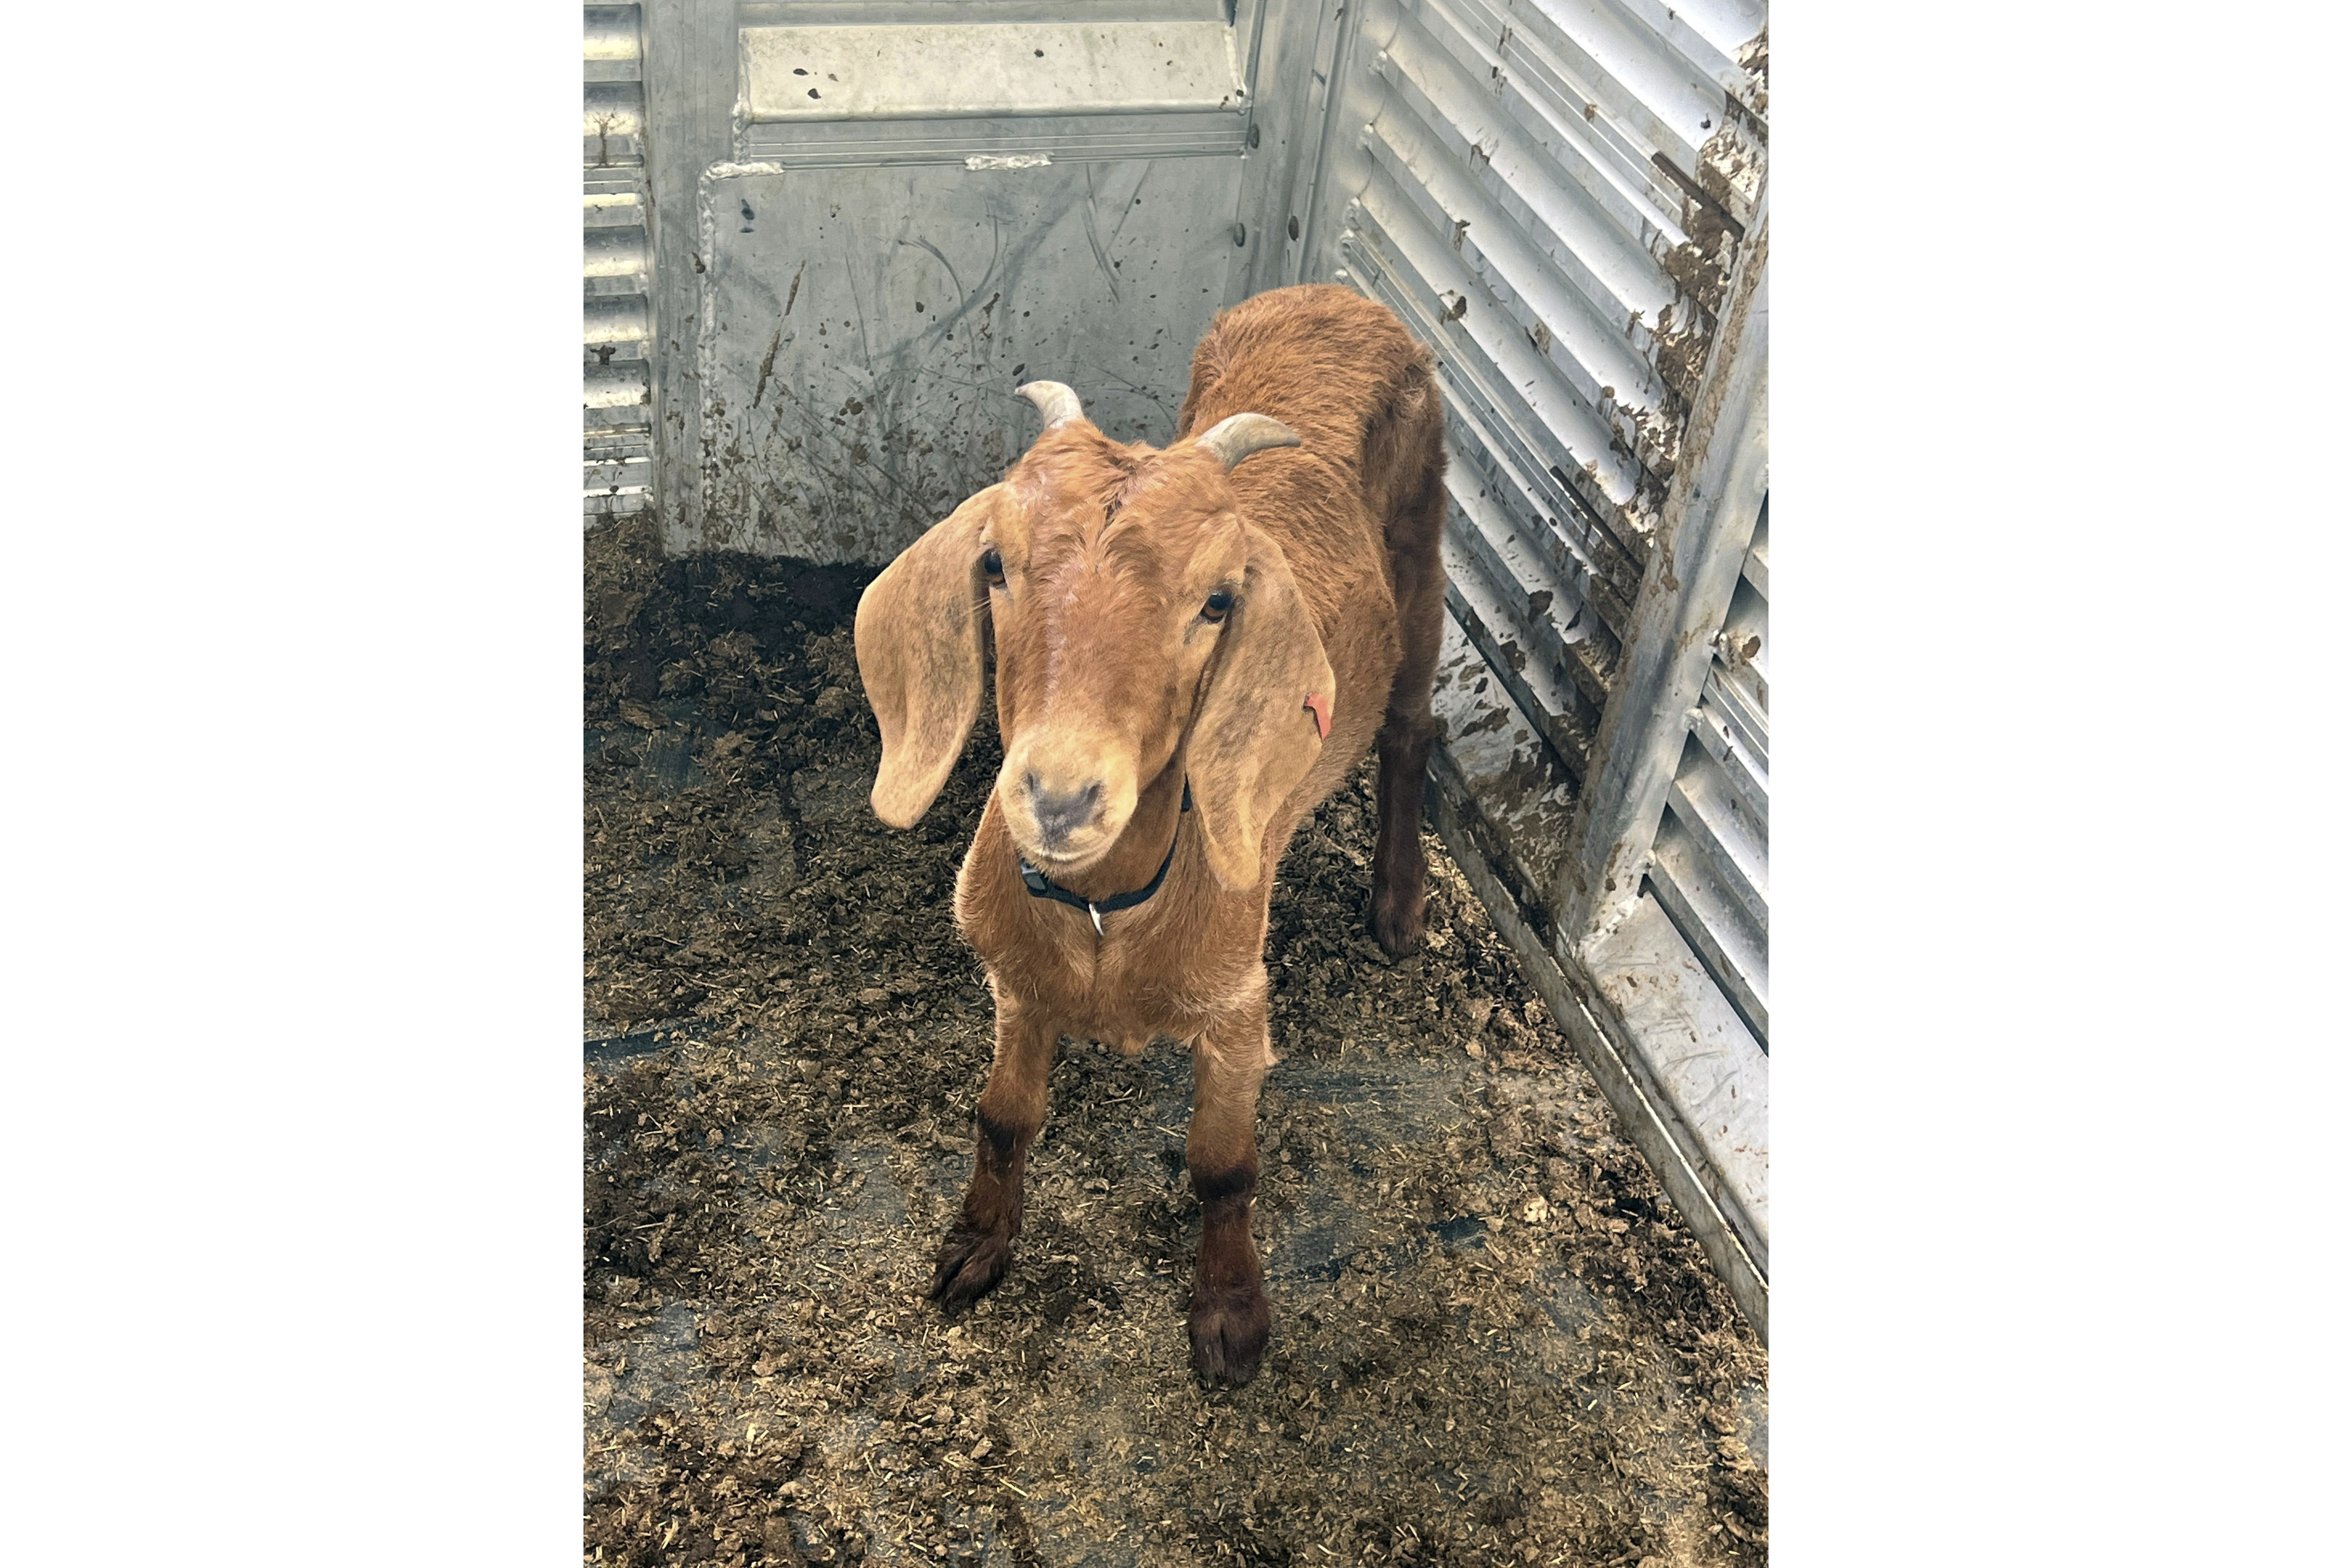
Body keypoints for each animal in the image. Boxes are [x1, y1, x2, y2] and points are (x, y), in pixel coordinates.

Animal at [853, 285, 1447, 1386]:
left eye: (1216, 600)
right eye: (995, 563)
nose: (1060, 794)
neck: (1104, 917)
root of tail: (1334, 292)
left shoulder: (1237, 1006)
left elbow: (1223, 1166)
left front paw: (1230, 1318)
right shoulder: (1015, 983)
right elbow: (1002, 1115)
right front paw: (974, 1244)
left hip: (1424, 542)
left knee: (1408, 725)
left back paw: (1397, 908)